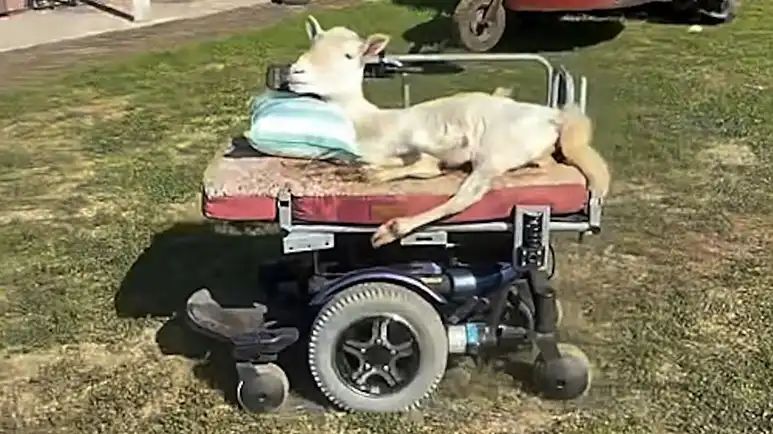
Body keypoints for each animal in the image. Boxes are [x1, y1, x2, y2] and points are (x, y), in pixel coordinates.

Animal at [287, 15, 611, 248]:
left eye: (348, 55)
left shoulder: (427, 143)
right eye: (311, 44)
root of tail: (557, 117)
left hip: (494, 152)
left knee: (467, 195)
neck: (369, 122)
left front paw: (377, 174)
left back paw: (392, 228)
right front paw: (369, 171)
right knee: (545, 162)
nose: (295, 71)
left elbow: (425, 166)